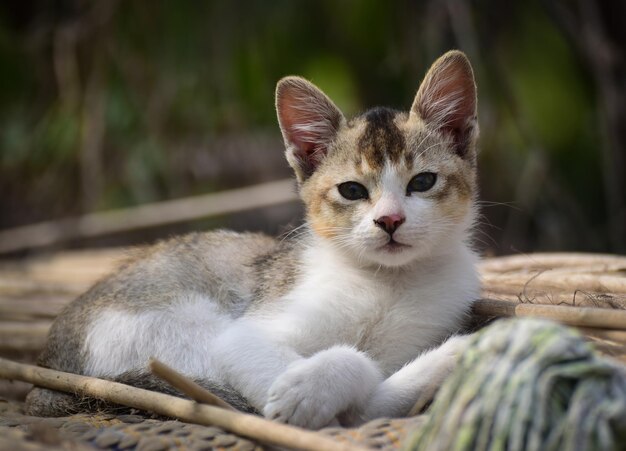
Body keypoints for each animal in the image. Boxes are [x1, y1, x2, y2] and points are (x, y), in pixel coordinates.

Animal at [25, 51, 478, 430]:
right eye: (351, 190)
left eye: (423, 182)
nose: (390, 220)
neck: (386, 281)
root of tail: (52, 364)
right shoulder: (246, 335)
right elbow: (349, 374)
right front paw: (309, 390)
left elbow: (369, 393)